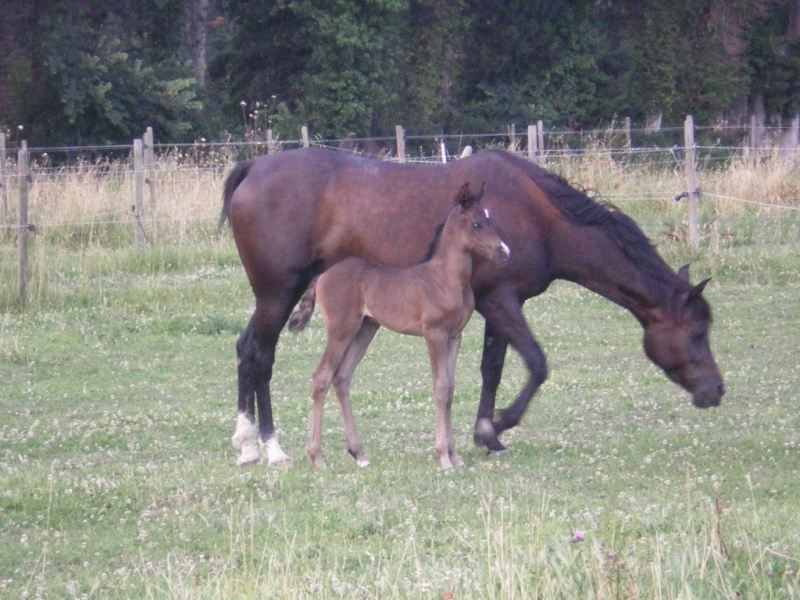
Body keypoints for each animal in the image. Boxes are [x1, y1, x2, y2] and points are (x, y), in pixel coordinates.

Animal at [220, 148, 724, 466]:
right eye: (697, 332)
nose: (716, 391)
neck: (538, 215)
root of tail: (254, 168)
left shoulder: (496, 305)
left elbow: (492, 369)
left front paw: (485, 434)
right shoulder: (501, 301)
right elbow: (536, 364)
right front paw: (494, 428)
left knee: (246, 350)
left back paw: (247, 445)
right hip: (278, 294)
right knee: (261, 356)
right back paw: (270, 448)